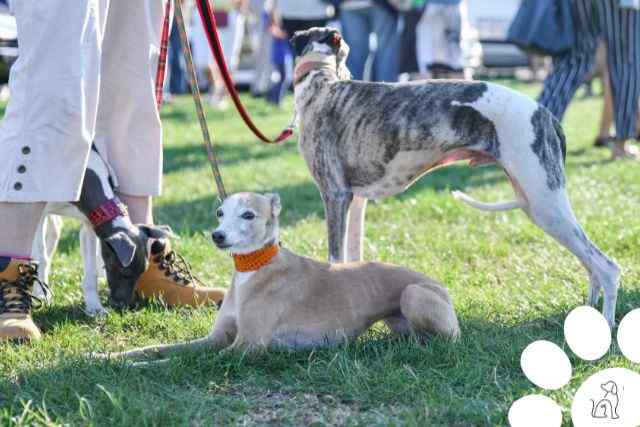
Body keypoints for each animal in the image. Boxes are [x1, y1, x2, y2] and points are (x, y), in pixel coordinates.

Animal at [31, 149, 172, 316]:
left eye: (142, 273)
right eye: (125, 273)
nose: (123, 306)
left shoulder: (89, 225)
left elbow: (91, 271)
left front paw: (95, 307)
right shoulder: (37, 214)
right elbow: (40, 255)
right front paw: (40, 293)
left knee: (55, 228)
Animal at [100, 192, 460, 362]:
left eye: (248, 214)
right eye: (220, 212)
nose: (217, 236)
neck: (253, 270)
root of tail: (441, 285)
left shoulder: (246, 347)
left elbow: (176, 364)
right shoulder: (216, 339)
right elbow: (156, 350)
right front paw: (107, 357)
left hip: (413, 294)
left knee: (443, 340)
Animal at [290, 26, 620, 326]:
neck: (323, 84)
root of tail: (546, 114)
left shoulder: (335, 195)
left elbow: (334, 259)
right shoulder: (357, 200)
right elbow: (353, 258)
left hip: (545, 202)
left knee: (607, 266)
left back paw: (605, 323)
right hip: (538, 204)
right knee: (590, 264)